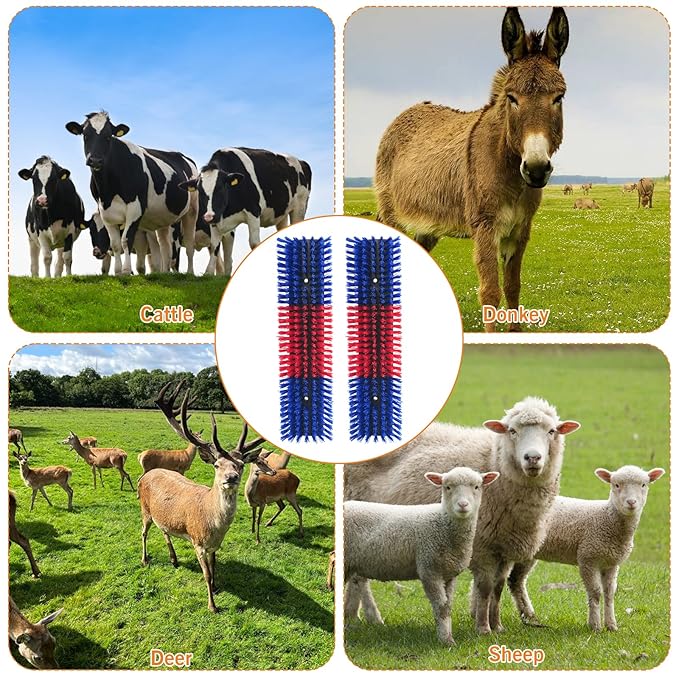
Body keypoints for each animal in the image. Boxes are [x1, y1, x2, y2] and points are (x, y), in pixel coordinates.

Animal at [65, 111, 198, 276]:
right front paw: (117, 272)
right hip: (164, 217)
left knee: (189, 244)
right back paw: (164, 273)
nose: (95, 160)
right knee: (164, 245)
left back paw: (190, 272)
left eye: (108, 136)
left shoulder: (136, 209)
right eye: (85, 135)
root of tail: (182, 155)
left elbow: (126, 240)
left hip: (192, 210)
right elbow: (115, 244)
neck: (109, 190)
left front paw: (126, 270)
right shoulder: (105, 212)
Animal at [180, 147, 311, 276]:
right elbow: (215, 246)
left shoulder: (253, 211)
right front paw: (210, 272)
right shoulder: (217, 218)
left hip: (300, 207)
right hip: (281, 213)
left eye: (220, 188)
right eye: (200, 191)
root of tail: (301, 161)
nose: (208, 217)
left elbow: (254, 243)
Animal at [345, 467, 499, 645]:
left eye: (476, 487)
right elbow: (441, 607)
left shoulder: (449, 574)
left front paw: (447, 635)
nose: (463, 505)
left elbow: (448, 606)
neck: (443, 523)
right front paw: (446, 640)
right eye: (447, 487)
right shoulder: (429, 570)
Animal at [507, 465, 665, 632]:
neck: (607, 518)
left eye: (644, 485)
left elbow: (610, 593)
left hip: (527, 552)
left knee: (516, 581)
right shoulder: (588, 558)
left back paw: (529, 617)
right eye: (616, 485)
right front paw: (595, 625)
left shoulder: (611, 563)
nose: (631, 502)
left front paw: (611, 625)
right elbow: (595, 592)